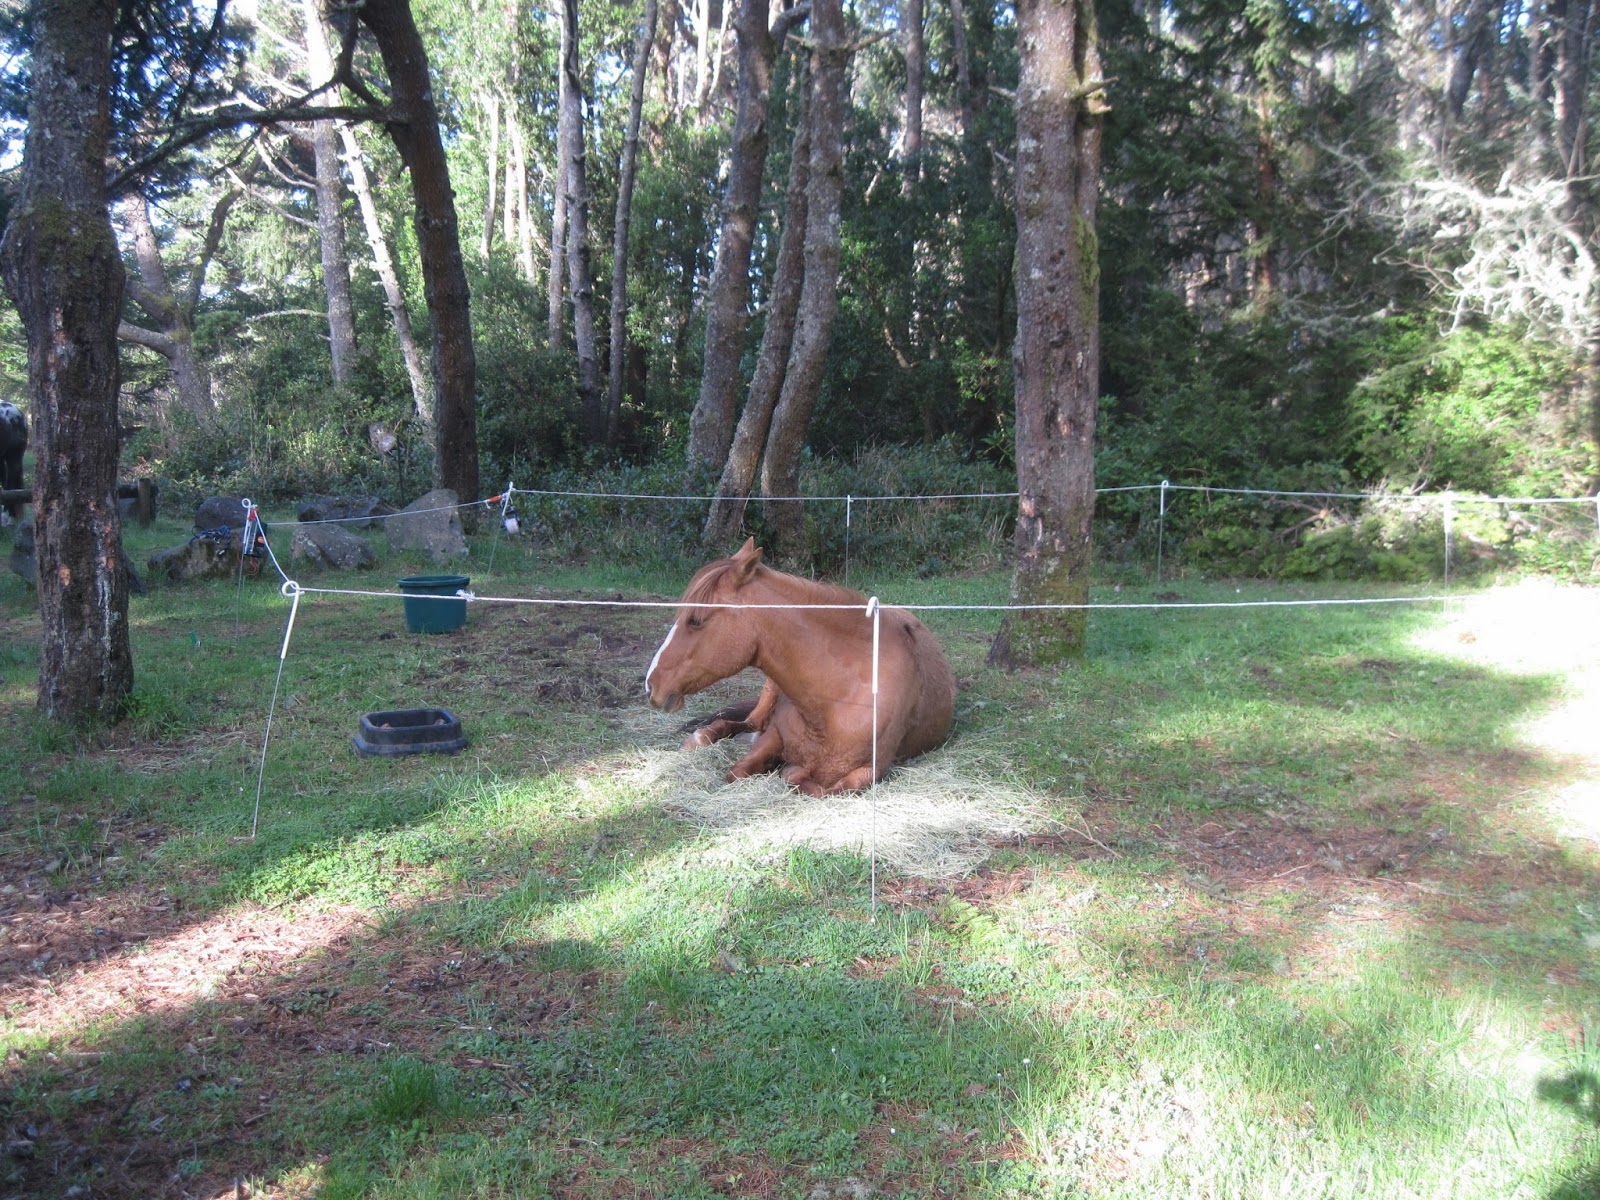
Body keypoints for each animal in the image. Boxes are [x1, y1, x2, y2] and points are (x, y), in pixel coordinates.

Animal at [645, 538, 956, 795]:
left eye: (695, 620)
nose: (651, 684)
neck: (836, 701)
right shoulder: (774, 736)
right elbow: (738, 771)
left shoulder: (872, 771)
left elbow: (816, 786)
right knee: (745, 723)